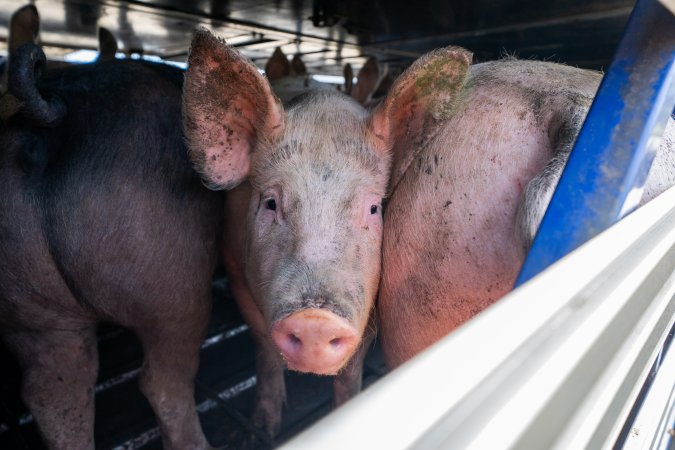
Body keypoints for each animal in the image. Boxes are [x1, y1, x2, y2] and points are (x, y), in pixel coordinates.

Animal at [182, 27, 422, 436]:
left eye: (374, 208)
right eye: (270, 203)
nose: (314, 321)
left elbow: (350, 370)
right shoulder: (235, 268)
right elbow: (264, 347)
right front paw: (264, 427)